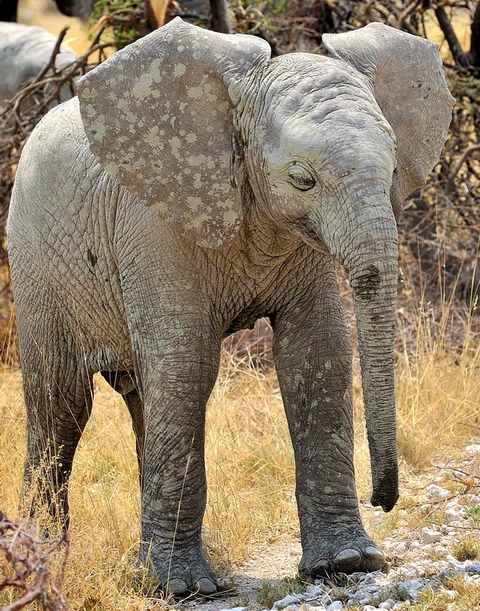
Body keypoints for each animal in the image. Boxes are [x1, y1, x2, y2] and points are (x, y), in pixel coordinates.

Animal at [5, 17, 452, 596]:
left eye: (395, 169)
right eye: (302, 179)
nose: (385, 499)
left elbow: (318, 354)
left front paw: (349, 563)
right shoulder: (154, 227)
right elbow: (187, 367)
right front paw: (181, 589)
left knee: (141, 396)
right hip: (34, 261)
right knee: (61, 403)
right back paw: (43, 562)